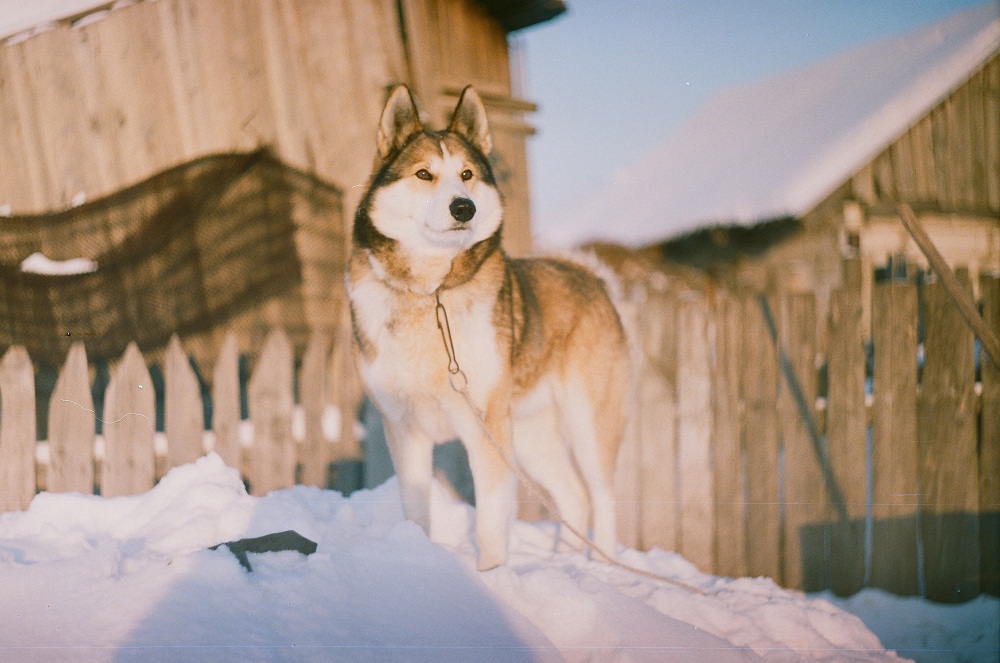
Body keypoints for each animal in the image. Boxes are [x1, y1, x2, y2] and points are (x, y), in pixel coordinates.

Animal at [348, 84, 628, 572]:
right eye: (424, 174)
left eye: (467, 174)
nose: (464, 206)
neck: (432, 294)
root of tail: (591, 279)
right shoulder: (405, 430)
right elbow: (417, 510)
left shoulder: (486, 430)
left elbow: (491, 525)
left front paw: (494, 578)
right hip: (531, 435)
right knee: (574, 496)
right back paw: (565, 564)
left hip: (586, 424)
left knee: (602, 496)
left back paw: (604, 568)